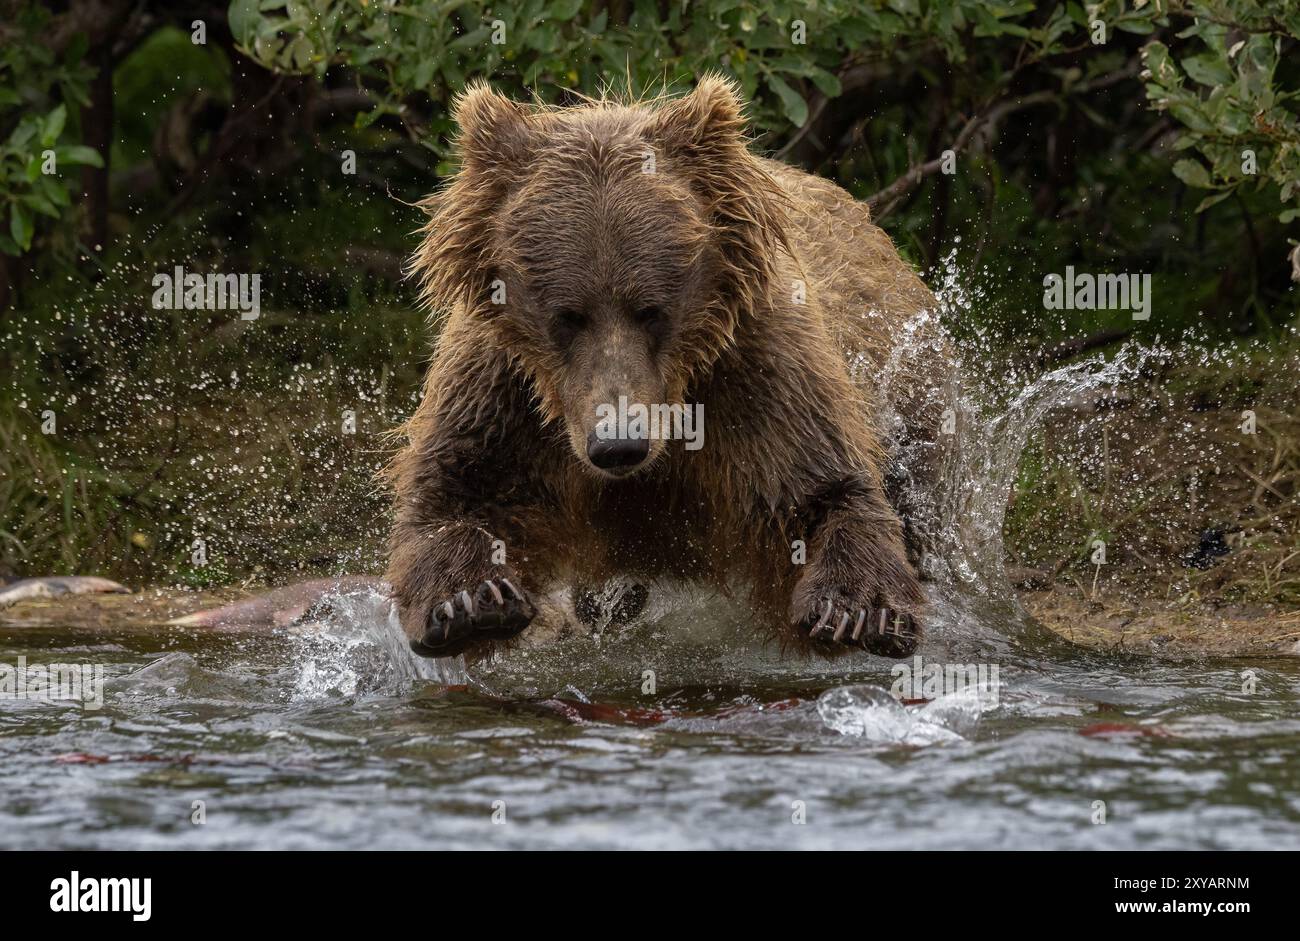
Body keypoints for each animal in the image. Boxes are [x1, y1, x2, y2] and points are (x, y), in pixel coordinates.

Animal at [382, 73, 946, 662]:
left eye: (651, 310)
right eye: (568, 316)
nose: (618, 444)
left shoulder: (755, 369)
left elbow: (823, 489)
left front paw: (855, 608)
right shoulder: (504, 385)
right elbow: (455, 487)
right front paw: (469, 603)